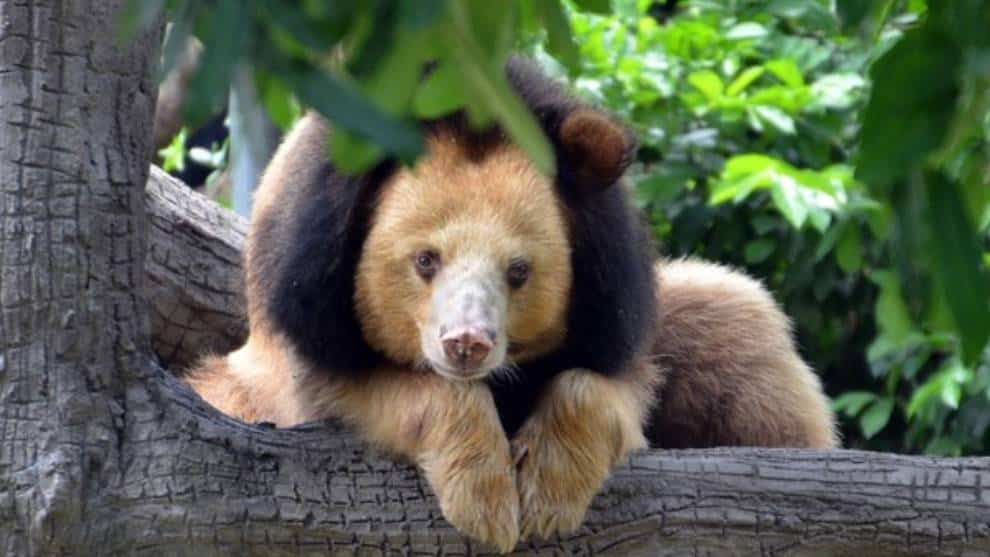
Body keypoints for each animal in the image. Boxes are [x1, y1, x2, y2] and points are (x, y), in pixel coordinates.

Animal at [184, 57, 837, 553]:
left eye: (518, 271)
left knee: (743, 333)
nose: (466, 344)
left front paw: (547, 494)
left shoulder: (615, 310)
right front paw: (486, 501)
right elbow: (375, 391)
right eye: (425, 260)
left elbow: (610, 385)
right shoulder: (306, 315)